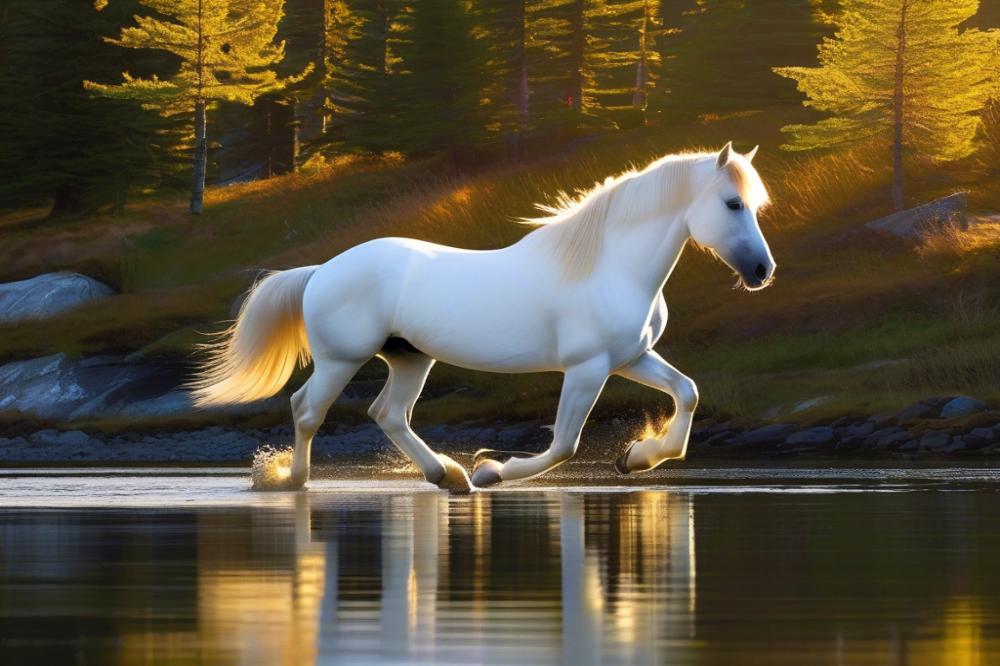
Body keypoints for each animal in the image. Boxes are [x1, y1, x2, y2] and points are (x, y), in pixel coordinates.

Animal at [190, 142, 776, 493]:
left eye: (753, 205)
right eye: (731, 204)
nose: (761, 271)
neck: (610, 266)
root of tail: (321, 270)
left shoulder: (631, 357)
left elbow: (688, 393)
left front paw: (638, 457)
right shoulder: (587, 368)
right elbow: (564, 444)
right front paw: (494, 469)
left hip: (410, 358)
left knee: (387, 413)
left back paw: (446, 475)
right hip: (341, 359)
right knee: (308, 409)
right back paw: (291, 481)